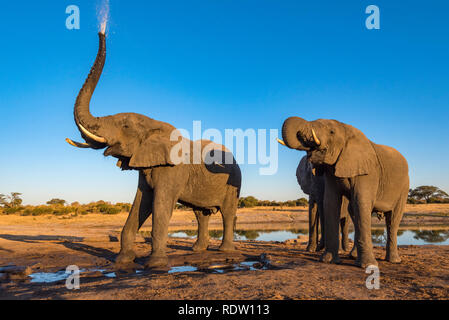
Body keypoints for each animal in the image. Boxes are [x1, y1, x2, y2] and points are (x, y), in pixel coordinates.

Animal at [65, 32, 242, 268]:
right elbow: (140, 202)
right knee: (200, 214)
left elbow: (160, 204)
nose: (102, 31)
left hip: (234, 180)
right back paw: (197, 250)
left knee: (228, 213)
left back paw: (224, 251)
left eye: (126, 126)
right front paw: (123, 260)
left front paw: (155, 264)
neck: (155, 123)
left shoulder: (173, 169)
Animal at [280, 117, 410, 268]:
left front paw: (368, 266)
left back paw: (393, 260)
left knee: (393, 220)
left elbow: (361, 203)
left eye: (331, 132)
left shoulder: (368, 172)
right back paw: (353, 256)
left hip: (404, 187)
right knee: (353, 211)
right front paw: (328, 261)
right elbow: (330, 202)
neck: (347, 129)